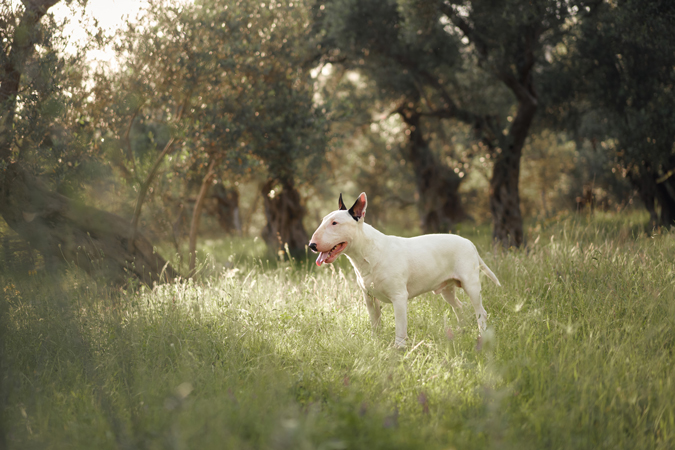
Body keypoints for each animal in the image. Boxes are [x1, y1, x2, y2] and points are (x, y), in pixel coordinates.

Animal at [308, 192, 500, 346]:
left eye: (335, 223)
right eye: (323, 221)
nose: (311, 245)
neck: (368, 252)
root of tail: (469, 242)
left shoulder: (399, 297)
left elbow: (400, 327)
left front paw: (399, 349)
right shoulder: (369, 298)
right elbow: (375, 323)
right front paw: (375, 343)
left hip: (471, 284)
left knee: (481, 311)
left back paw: (482, 334)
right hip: (447, 289)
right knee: (459, 306)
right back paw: (461, 330)